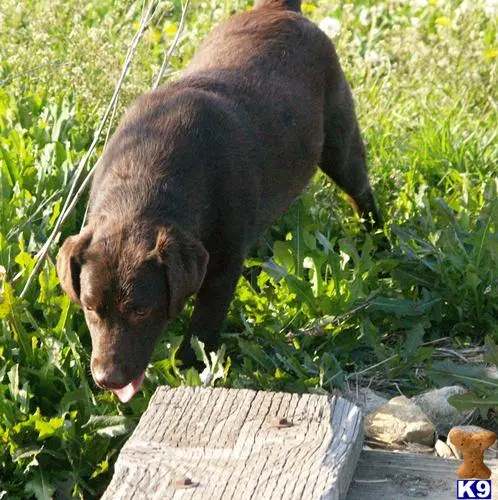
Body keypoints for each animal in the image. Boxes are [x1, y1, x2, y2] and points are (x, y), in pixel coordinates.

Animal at [56, 0, 382, 400]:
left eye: (141, 311)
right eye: (90, 308)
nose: (108, 380)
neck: (144, 184)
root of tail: (279, 8)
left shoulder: (223, 263)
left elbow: (204, 323)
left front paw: (189, 369)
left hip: (340, 137)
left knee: (360, 190)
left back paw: (378, 238)